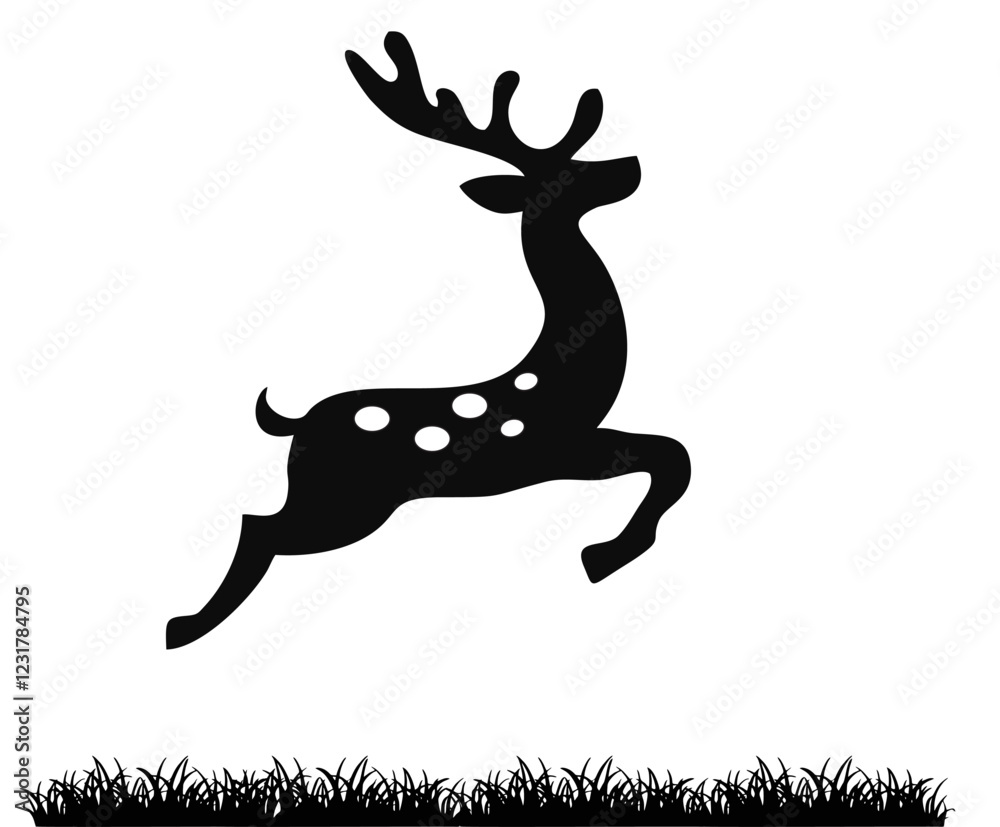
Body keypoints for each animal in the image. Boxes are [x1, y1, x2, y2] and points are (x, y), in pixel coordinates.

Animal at [166, 32, 690, 649]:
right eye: (567, 176)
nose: (630, 165)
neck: (567, 373)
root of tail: (294, 424)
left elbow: (671, 454)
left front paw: (604, 554)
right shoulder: (554, 447)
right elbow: (671, 455)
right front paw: (602, 556)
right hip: (346, 501)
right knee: (260, 527)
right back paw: (185, 629)